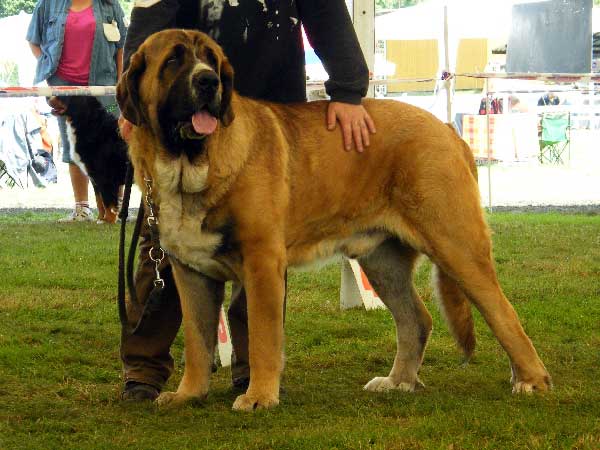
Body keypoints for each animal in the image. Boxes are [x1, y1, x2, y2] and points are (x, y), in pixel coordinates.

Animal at [117, 29, 552, 412]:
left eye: (211, 61)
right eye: (174, 60)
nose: (208, 81)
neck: (189, 164)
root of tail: (447, 129)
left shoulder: (262, 264)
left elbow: (261, 336)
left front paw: (259, 396)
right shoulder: (189, 272)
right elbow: (196, 340)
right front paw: (188, 394)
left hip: (457, 247)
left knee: (504, 314)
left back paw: (531, 380)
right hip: (382, 261)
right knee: (416, 319)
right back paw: (398, 382)